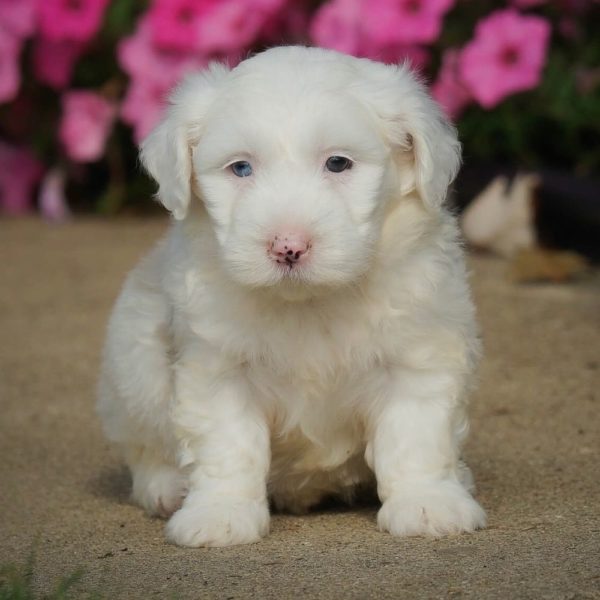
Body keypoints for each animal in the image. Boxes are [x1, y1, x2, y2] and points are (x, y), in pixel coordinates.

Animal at [96, 44, 486, 548]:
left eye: (338, 163)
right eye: (241, 168)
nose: (288, 246)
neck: (309, 302)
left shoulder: (417, 357)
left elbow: (416, 435)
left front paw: (428, 503)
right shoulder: (218, 368)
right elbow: (228, 445)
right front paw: (220, 513)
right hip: (133, 364)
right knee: (144, 447)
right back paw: (166, 487)